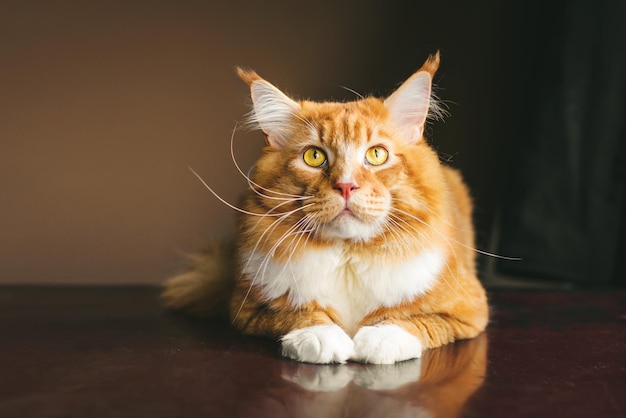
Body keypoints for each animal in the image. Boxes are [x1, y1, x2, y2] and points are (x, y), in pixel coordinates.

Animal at [162, 52, 488, 364]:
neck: (348, 256)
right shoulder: (248, 310)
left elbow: (412, 321)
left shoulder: (469, 310)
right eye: (314, 157)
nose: (346, 186)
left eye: (377, 155)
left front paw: (380, 340)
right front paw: (321, 338)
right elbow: (300, 315)